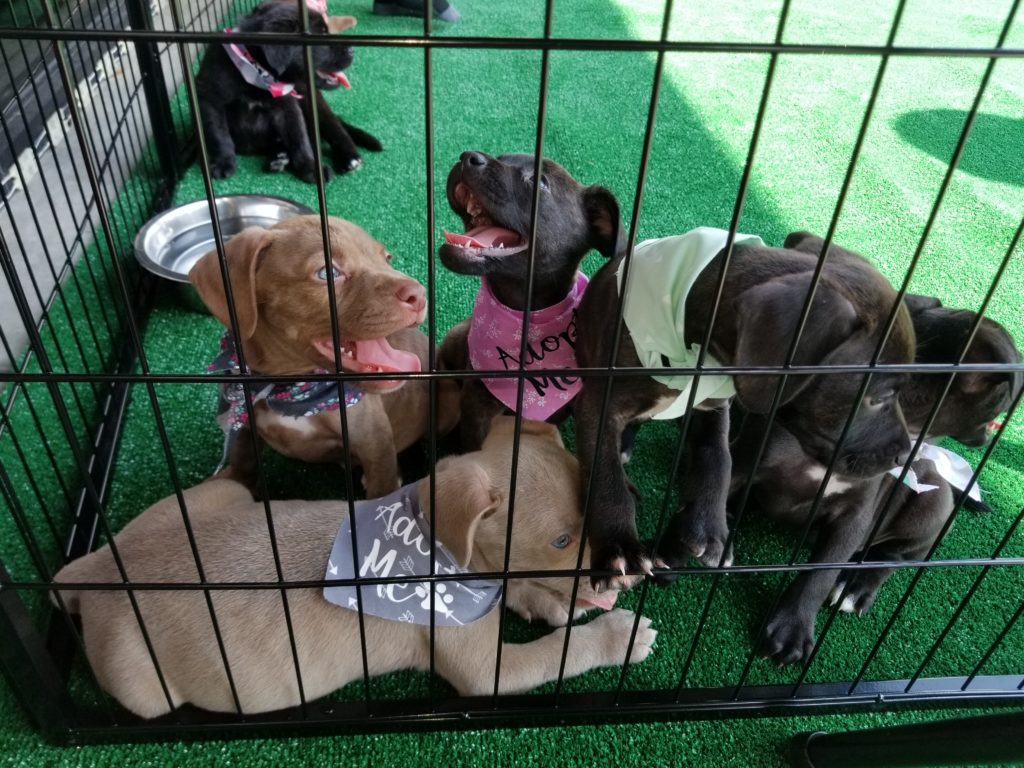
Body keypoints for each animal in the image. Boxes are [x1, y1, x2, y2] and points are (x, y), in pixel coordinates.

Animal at [51, 417, 655, 720]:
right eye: (560, 540)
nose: (628, 573)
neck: (434, 549)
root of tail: (102, 573)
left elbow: (516, 593)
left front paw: (550, 602)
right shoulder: (485, 671)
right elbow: (558, 654)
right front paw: (616, 636)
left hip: (212, 500)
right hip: (142, 684)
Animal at [192, 214, 456, 495]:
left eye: (387, 258)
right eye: (327, 273)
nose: (420, 294)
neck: (285, 385)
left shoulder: (375, 443)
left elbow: (381, 490)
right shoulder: (242, 422)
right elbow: (243, 460)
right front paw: (230, 482)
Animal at [193, 0, 382, 183]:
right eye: (320, 35)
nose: (352, 50)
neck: (256, 71)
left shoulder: (287, 106)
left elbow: (299, 137)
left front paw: (311, 168)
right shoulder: (210, 99)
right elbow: (219, 134)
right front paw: (223, 162)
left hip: (315, 103)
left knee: (336, 129)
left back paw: (350, 158)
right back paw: (278, 157)